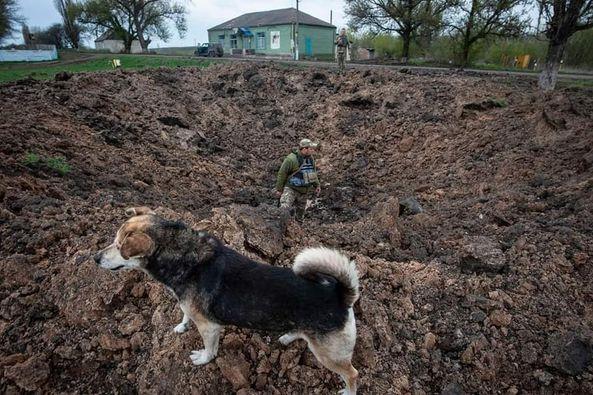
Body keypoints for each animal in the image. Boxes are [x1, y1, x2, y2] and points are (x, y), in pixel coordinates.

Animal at [95, 209, 358, 394]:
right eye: (113, 241)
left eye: (119, 246)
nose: (95, 258)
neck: (184, 257)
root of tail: (341, 295)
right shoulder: (188, 305)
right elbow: (184, 312)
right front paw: (181, 326)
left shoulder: (210, 327)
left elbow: (210, 349)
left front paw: (203, 359)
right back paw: (288, 336)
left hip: (329, 353)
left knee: (352, 374)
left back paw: (348, 391)